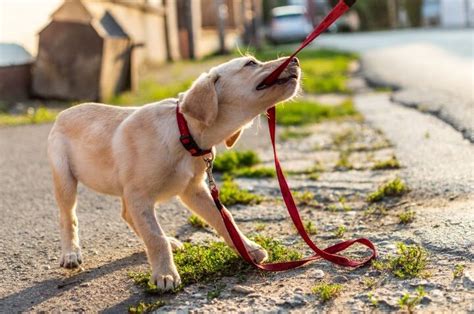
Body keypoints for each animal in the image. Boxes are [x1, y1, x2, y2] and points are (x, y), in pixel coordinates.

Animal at [48, 55, 300, 290]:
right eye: (250, 63)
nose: (296, 59)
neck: (184, 133)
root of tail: (63, 112)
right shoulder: (139, 195)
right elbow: (155, 237)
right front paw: (165, 275)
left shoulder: (193, 190)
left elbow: (224, 218)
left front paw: (248, 249)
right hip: (66, 179)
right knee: (67, 217)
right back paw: (71, 254)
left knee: (127, 215)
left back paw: (170, 241)